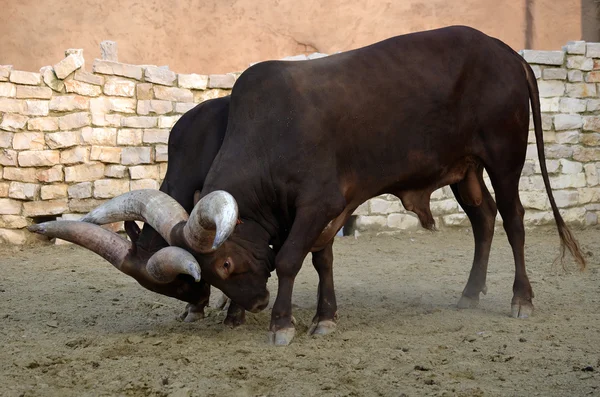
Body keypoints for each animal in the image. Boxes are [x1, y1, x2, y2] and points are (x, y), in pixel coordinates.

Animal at [30, 27, 584, 344]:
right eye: (196, 277)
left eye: (221, 266)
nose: (253, 303)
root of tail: (508, 53)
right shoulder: (321, 212)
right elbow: (321, 259)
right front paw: (320, 317)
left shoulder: (319, 203)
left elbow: (293, 258)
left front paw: (281, 323)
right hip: (464, 170)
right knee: (483, 219)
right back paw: (470, 293)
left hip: (504, 157)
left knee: (514, 219)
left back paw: (521, 300)